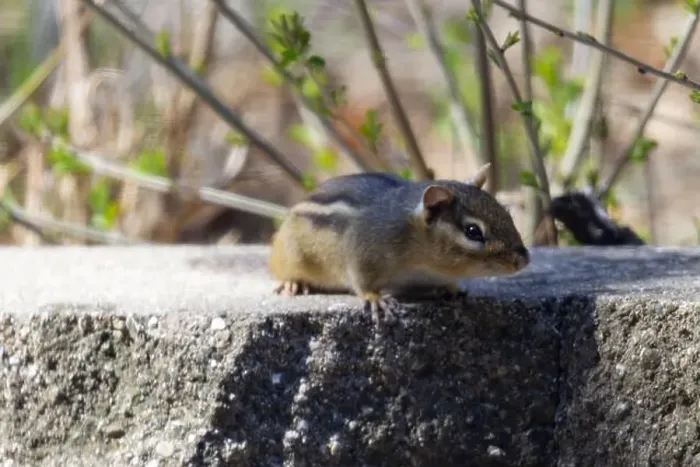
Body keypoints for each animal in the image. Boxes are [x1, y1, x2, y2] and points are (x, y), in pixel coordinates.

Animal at [268, 163, 530, 321]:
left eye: (507, 213)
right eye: (473, 231)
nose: (524, 260)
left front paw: (454, 291)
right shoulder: (362, 256)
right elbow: (361, 282)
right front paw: (375, 299)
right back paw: (293, 283)